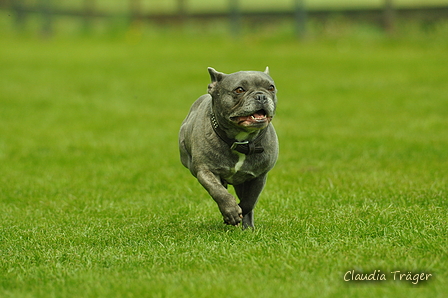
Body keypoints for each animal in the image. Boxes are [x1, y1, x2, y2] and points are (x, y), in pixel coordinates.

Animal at [178, 67, 276, 228]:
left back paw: (248, 226)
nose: (261, 96)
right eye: (239, 90)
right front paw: (231, 211)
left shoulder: (259, 176)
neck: (241, 141)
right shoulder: (205, 170)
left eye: (271, 88)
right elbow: (218, 192)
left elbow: (249, 201)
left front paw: (238, 215)